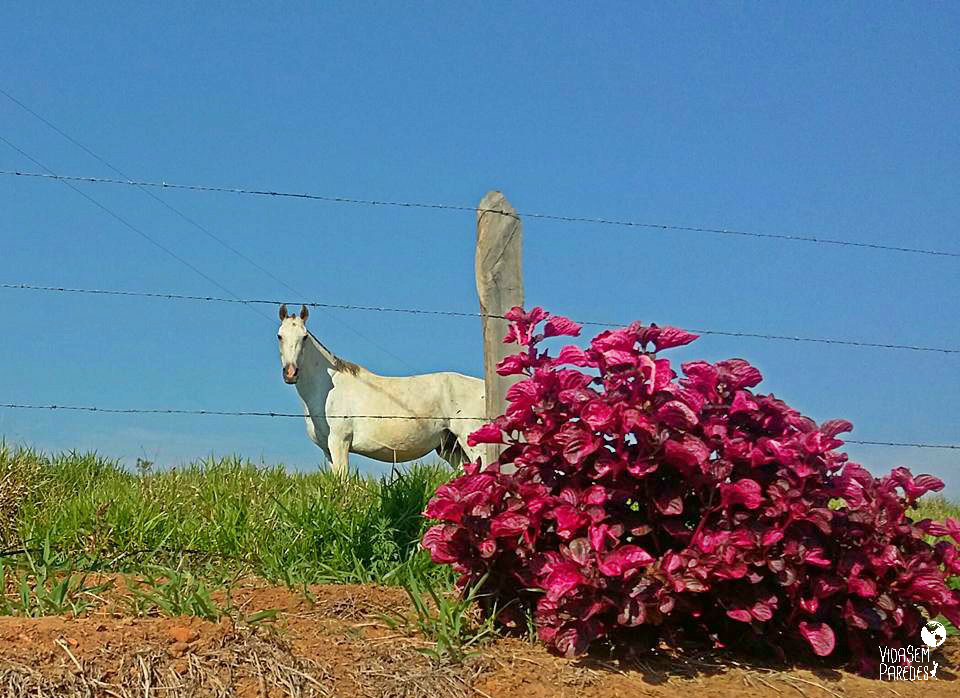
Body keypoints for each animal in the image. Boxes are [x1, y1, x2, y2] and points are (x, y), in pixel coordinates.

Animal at [278, 304, 488, 474]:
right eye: (280, 336)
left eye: (304, 337)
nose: (291, 372)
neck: (327, 392)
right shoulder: (327, 449)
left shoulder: (339, 442)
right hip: (451, 448)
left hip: (473, 444)